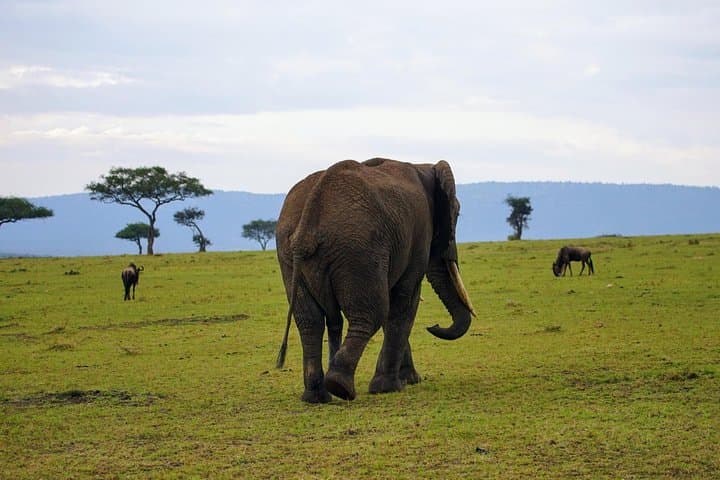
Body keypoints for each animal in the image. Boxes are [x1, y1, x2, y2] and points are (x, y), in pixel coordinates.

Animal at [275, 158, 476, 403]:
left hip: (289, 254)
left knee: (310, 321)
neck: (424, 166)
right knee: (372, 313)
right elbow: (404, 300)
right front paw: (391, 387)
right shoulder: (419, 232)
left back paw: (316, 396)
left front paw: (408, 380)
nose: (434, 325)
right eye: (456, 214)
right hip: (358, 249)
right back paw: (340, 387)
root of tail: (309, 221)